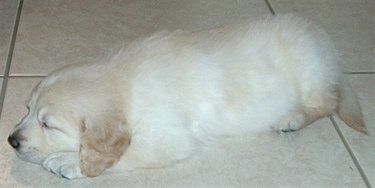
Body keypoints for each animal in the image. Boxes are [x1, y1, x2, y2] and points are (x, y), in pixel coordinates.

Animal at [7, 15, 368, 179]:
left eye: (48, 125)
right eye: (27, 110)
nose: (11, 140)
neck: (121, 81)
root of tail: (328, 48)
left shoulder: (167, 138)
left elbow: (128, 153)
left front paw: (68, 161)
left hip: (310, 76)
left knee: (329, 101)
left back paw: (292, 118)